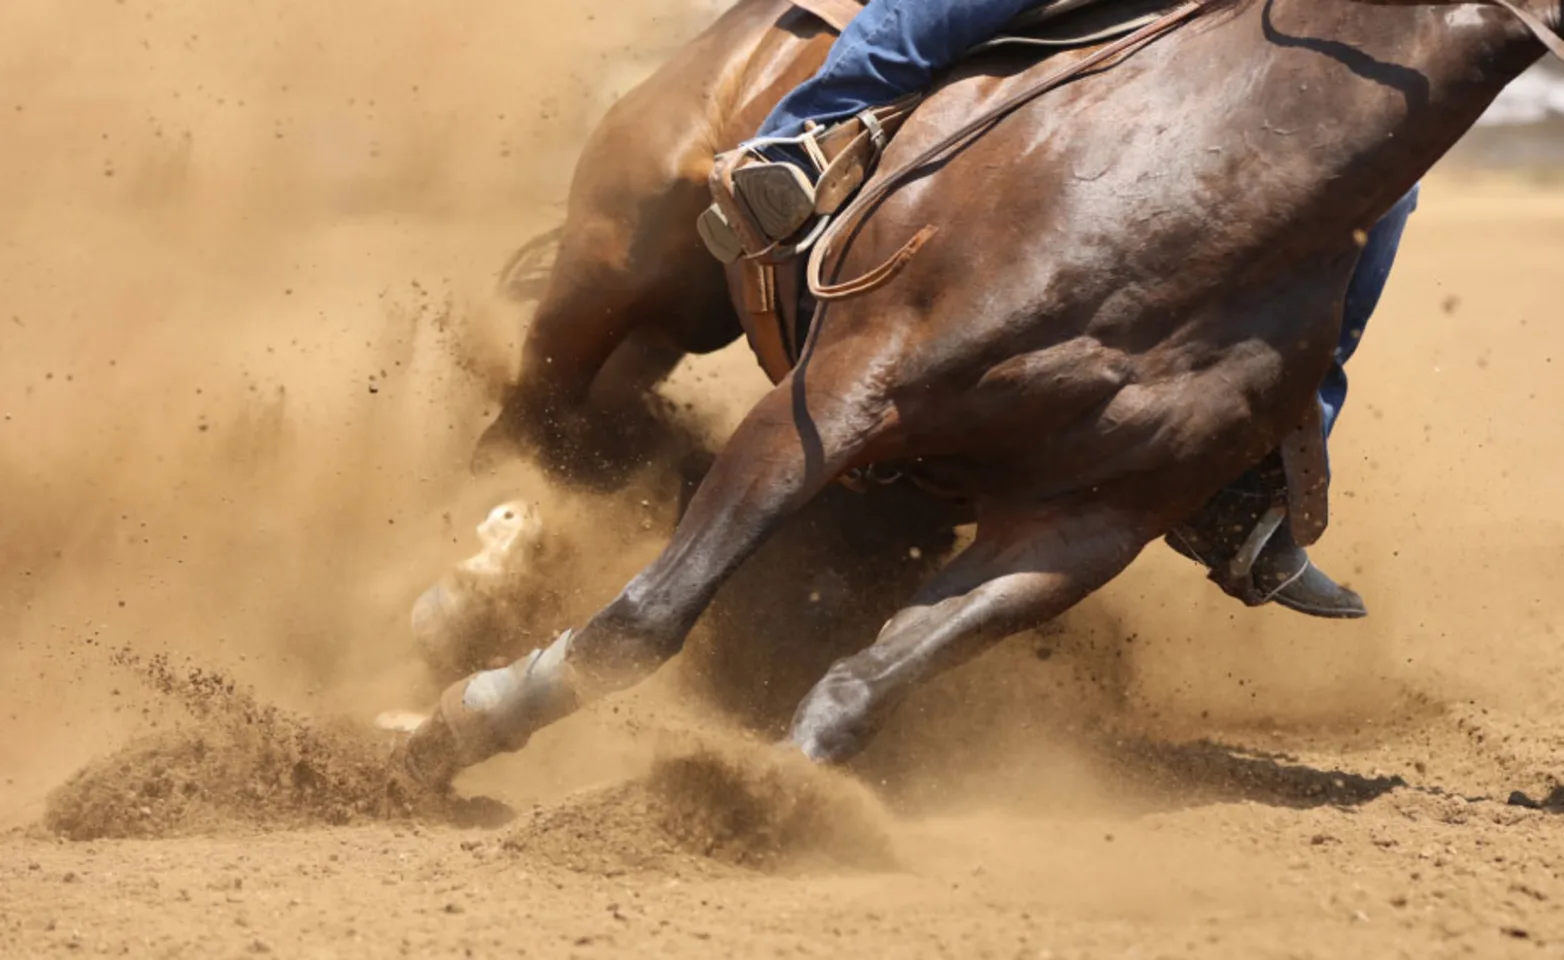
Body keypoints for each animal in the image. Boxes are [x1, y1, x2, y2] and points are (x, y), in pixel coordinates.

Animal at [394, 0, 1564, 791]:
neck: (1213, 172)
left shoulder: (1082, 526)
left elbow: (869, 684)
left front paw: (771, 797)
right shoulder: (837, 400)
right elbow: (648, 618)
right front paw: (466, 724)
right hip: (614, 276)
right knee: (531, 426)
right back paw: (455, 587)